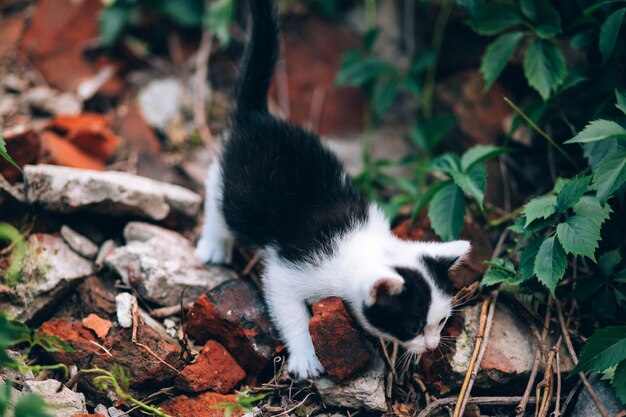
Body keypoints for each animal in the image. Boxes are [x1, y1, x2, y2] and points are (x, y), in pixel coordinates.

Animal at [195, 0, 468, 378]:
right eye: (413, 326)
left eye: (441, 322)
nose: (430, 346)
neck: (362, 242)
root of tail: (258, 117)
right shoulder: (290, 271)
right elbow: (288, 308)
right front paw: (306, 357)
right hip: (235, 186)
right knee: (216, 194)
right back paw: (213, 245)